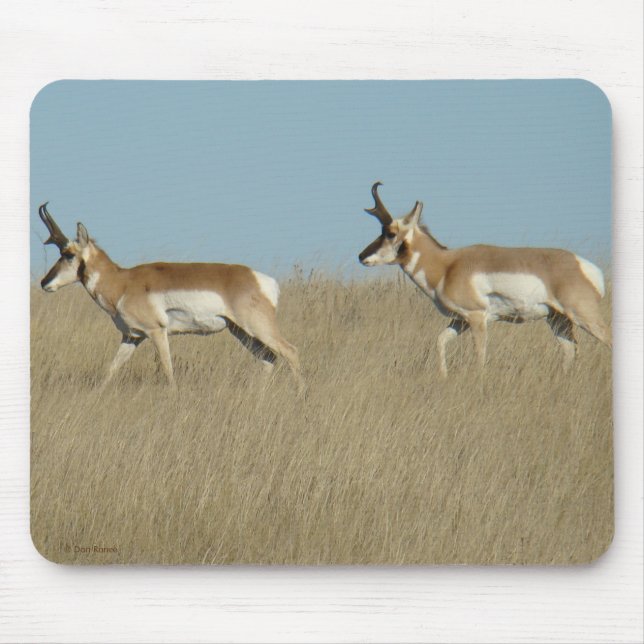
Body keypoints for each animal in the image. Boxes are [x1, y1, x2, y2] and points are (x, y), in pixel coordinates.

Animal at [38, 203, 302, 390]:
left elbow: (167, 370)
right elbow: (111, 370)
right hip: (241, 332)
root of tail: (262, 279)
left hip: (257, 328)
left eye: (68, 254)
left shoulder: (157, 332)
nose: (43, 283)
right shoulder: (131, 337)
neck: (122, 281)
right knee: (268, 358)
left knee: (291, 352)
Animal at [358, 182, 611, 376]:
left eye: (390, 233)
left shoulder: (477, 317)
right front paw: (443, 376)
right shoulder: (460, 320)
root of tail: (584, 266)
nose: (361, 256)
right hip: (558, 320)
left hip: (583, 315)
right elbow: (440, 341)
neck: (447, 265)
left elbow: (479, 357)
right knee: (570, 350)